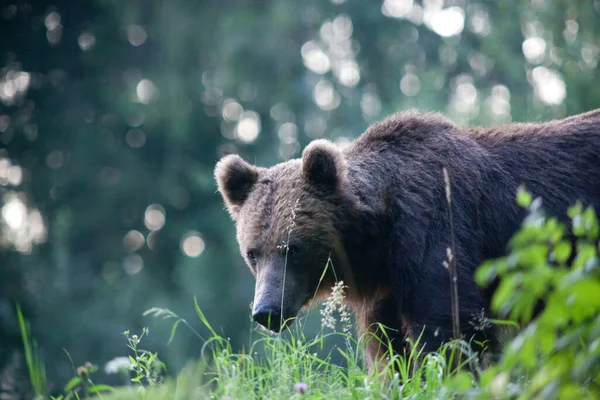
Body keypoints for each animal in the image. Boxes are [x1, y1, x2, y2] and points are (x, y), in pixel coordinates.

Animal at [213, 108, 600, 368]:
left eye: (293, 249)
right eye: (253, 253)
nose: (266, 311)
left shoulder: (437, 230)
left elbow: (447, 330)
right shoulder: (386, 289)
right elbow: (388, 347)